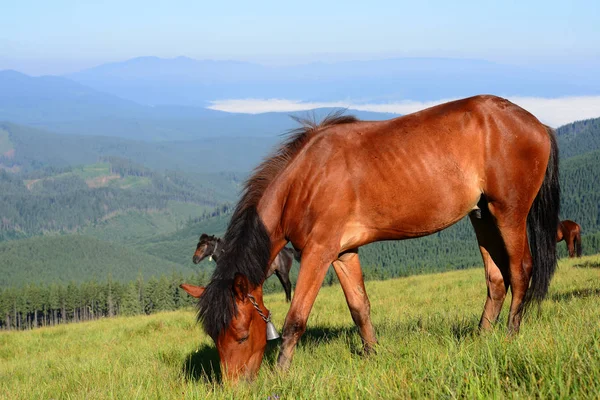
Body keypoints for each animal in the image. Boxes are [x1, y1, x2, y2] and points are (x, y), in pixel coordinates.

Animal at [189, 96, 564, 382]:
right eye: (214, 337)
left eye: (241, 335)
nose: (234, 387)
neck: (305, 178)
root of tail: (536, 123)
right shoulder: (343, 254)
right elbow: (360, 308)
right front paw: (372, 355)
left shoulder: (318, 253)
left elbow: (296, 318)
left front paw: (281, 373)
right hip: (481, 216)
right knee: (496, 279)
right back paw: (482, 337)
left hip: (509, 213)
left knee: (520, 270)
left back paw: (511, 335)